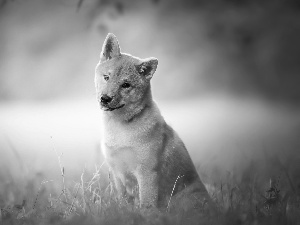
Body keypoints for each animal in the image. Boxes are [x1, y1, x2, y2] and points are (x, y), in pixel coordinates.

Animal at [94, 33, 213, 211]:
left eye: (126, 85)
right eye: (106, 77)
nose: (105, 99)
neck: (120, 127)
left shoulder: (146, 173)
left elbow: (147, 206)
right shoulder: (117, 173)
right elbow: (122, 202)